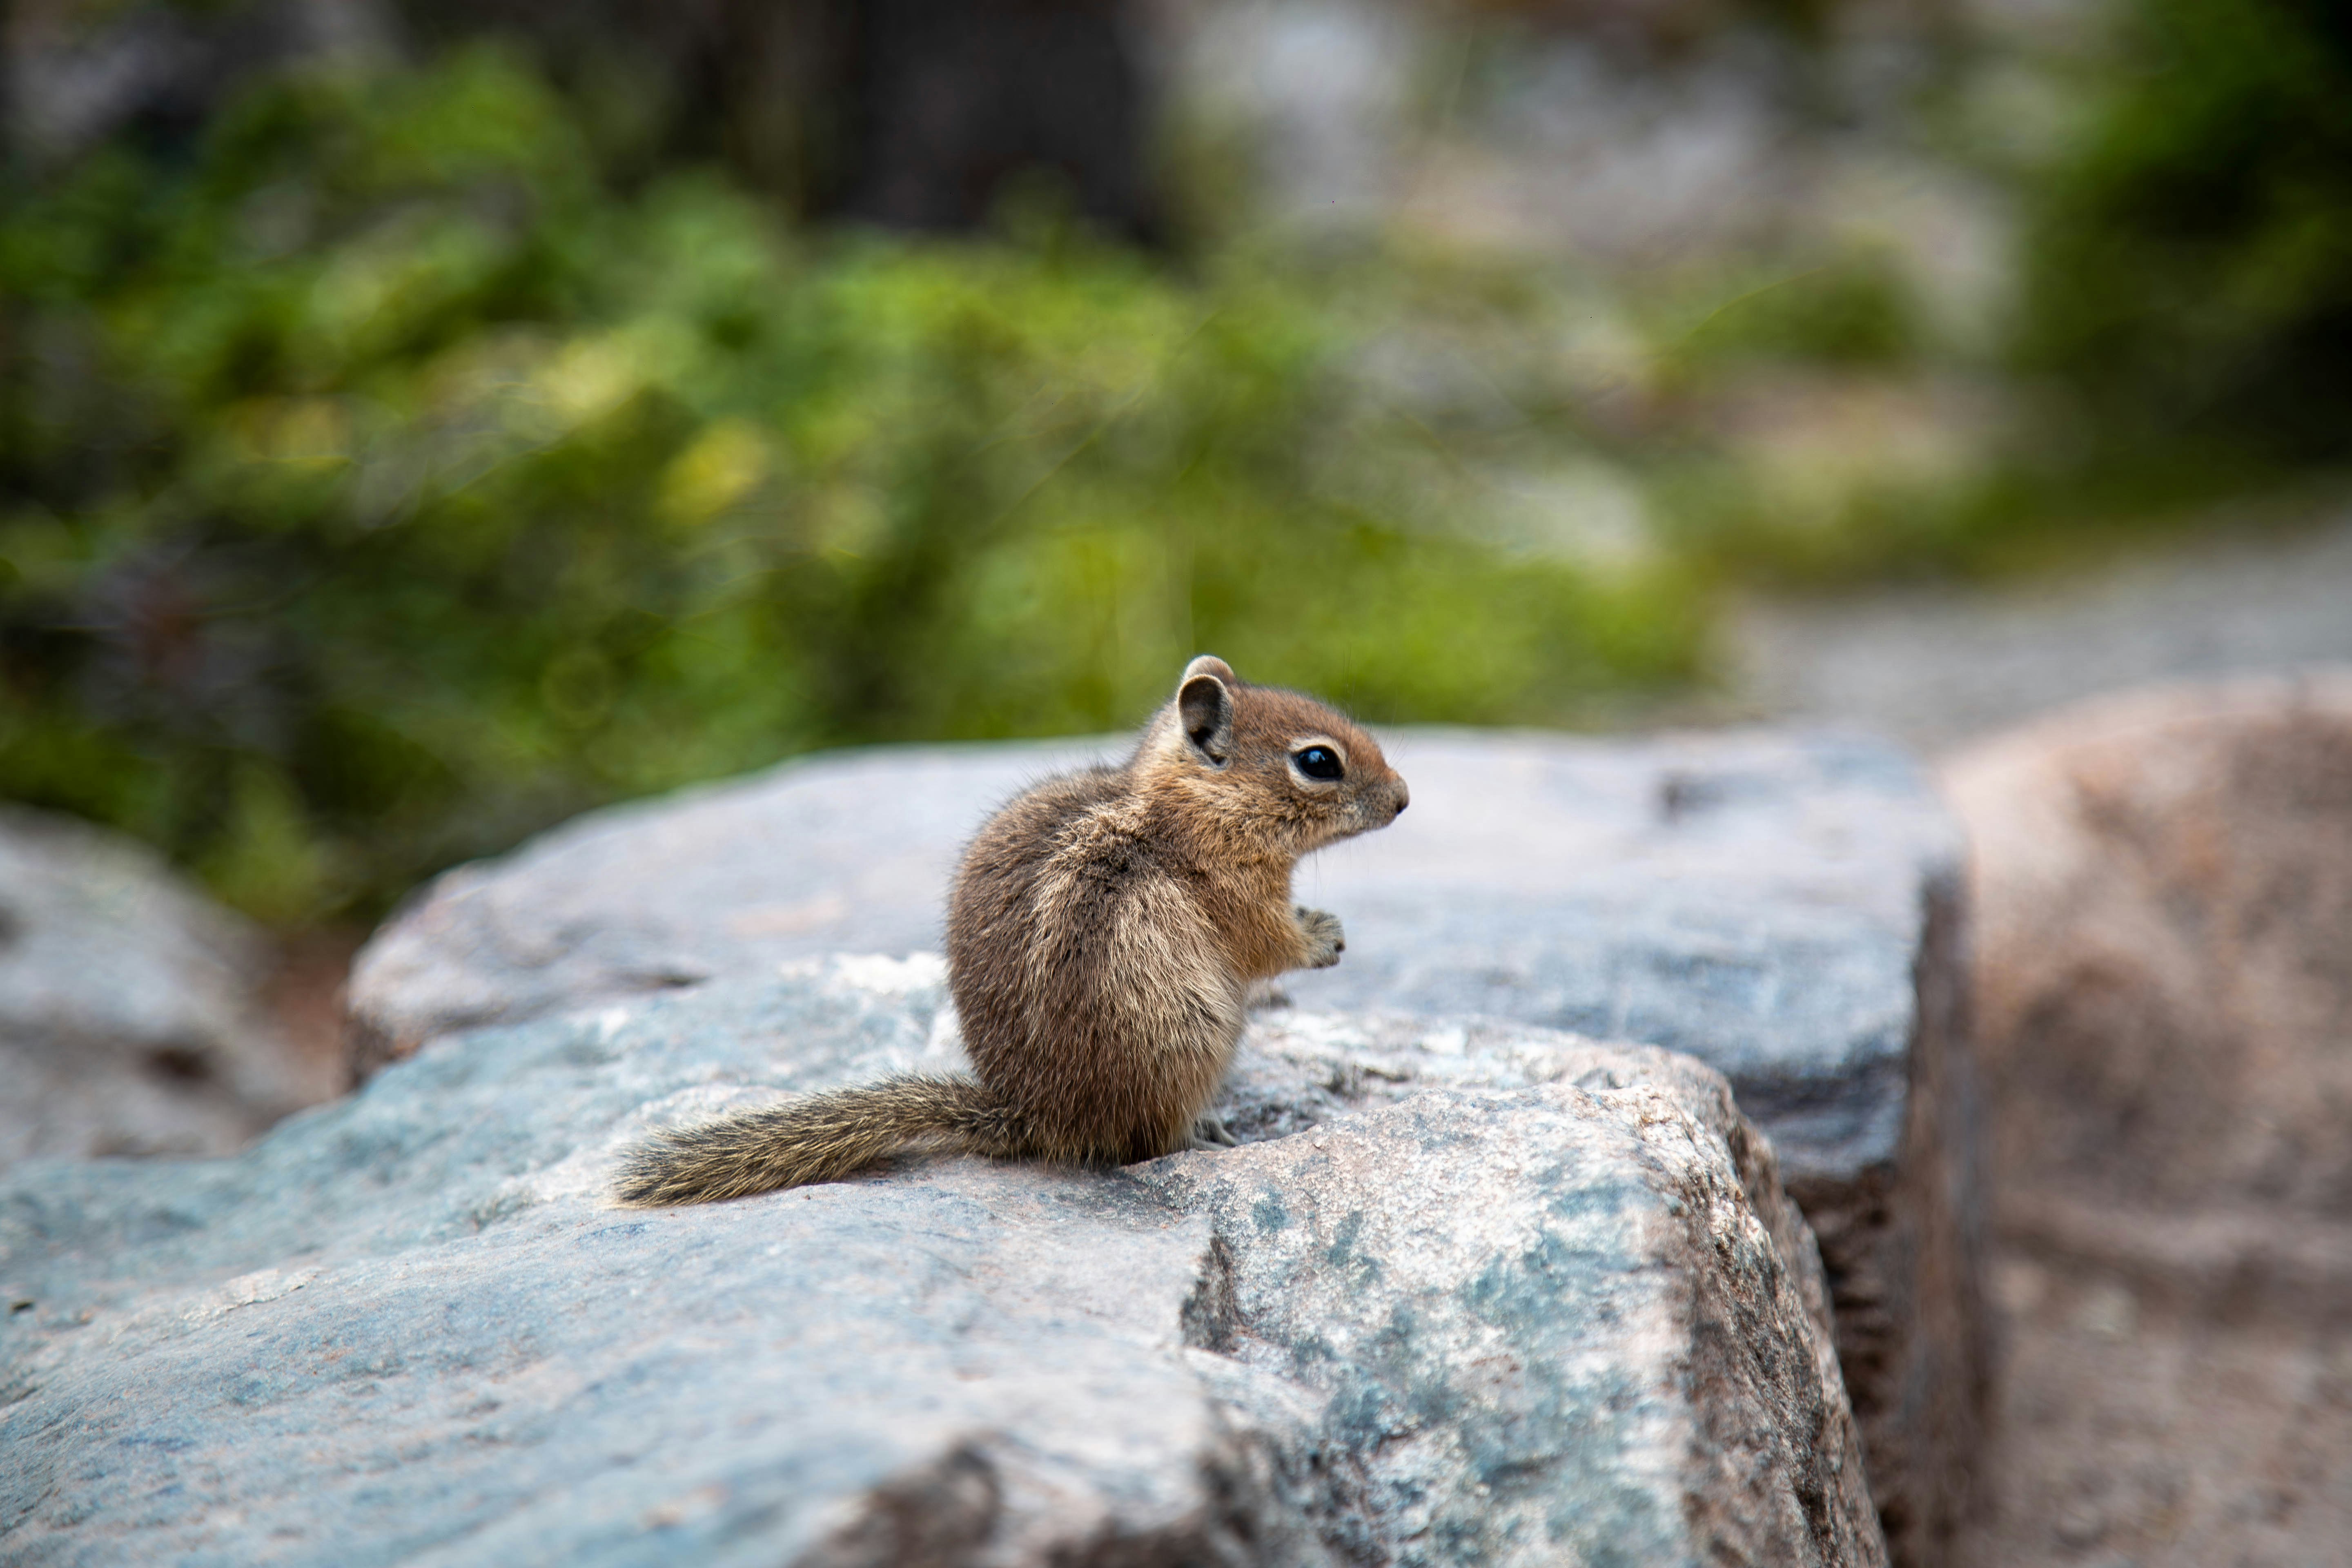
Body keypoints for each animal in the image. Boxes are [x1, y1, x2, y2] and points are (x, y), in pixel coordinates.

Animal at [614, 654, 1409, 1205]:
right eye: (1318, 762)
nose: (1404, 798)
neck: (1190, 805)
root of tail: (1033, 1116)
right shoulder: (1241, 896)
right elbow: (1270, 944)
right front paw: (1325, 937)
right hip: (1195, 1037)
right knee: (1147, 1141)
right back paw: (1208, 1135)